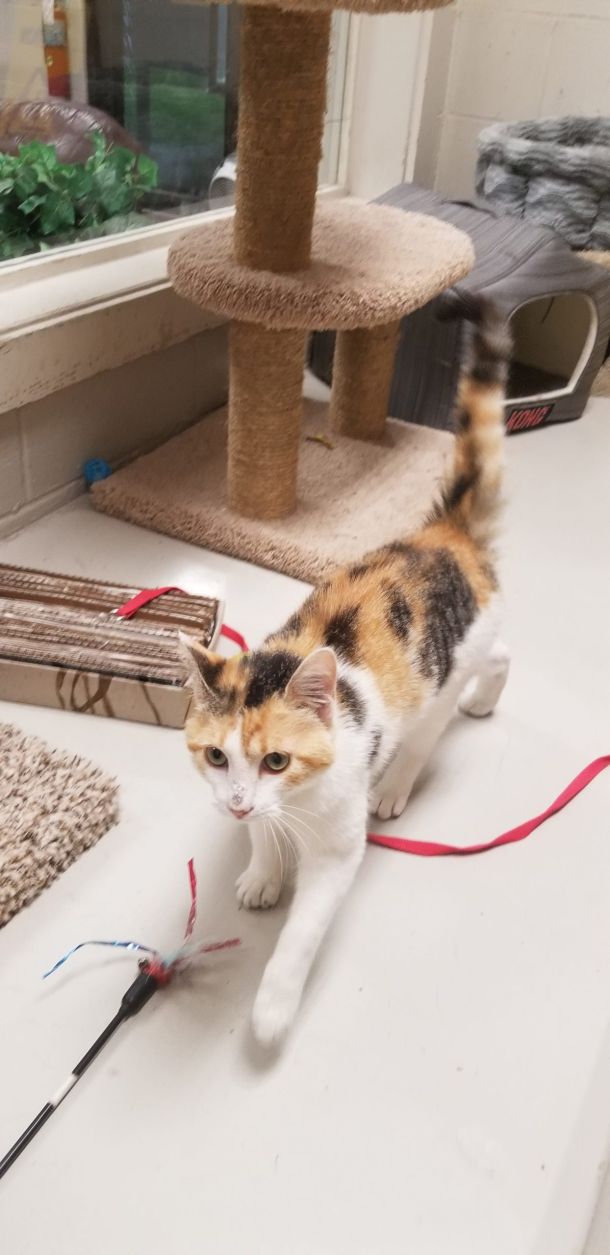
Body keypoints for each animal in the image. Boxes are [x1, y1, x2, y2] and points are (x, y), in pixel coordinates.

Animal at [181, 293, 511, 1047]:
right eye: (216, 756)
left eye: (277, 760)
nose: (236, 801)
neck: (294, 804)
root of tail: (445, 534)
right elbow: (263, 839)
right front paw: (262, 871)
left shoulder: (336, 851)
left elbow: (301, 933)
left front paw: (272, 1010)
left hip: (444, 678)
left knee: (446, 713)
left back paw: (408, 774)